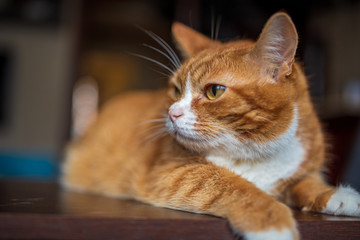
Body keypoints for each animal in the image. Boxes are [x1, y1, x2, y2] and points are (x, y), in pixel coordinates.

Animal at [62, 13, 360, 240]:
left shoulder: (302, 166)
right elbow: (234, 186)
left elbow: (306, 182)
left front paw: (337, 195)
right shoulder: (171, 172)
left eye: (214, 91)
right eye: (176, 90)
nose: (171, 113)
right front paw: (272, 224)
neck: (255, 151)